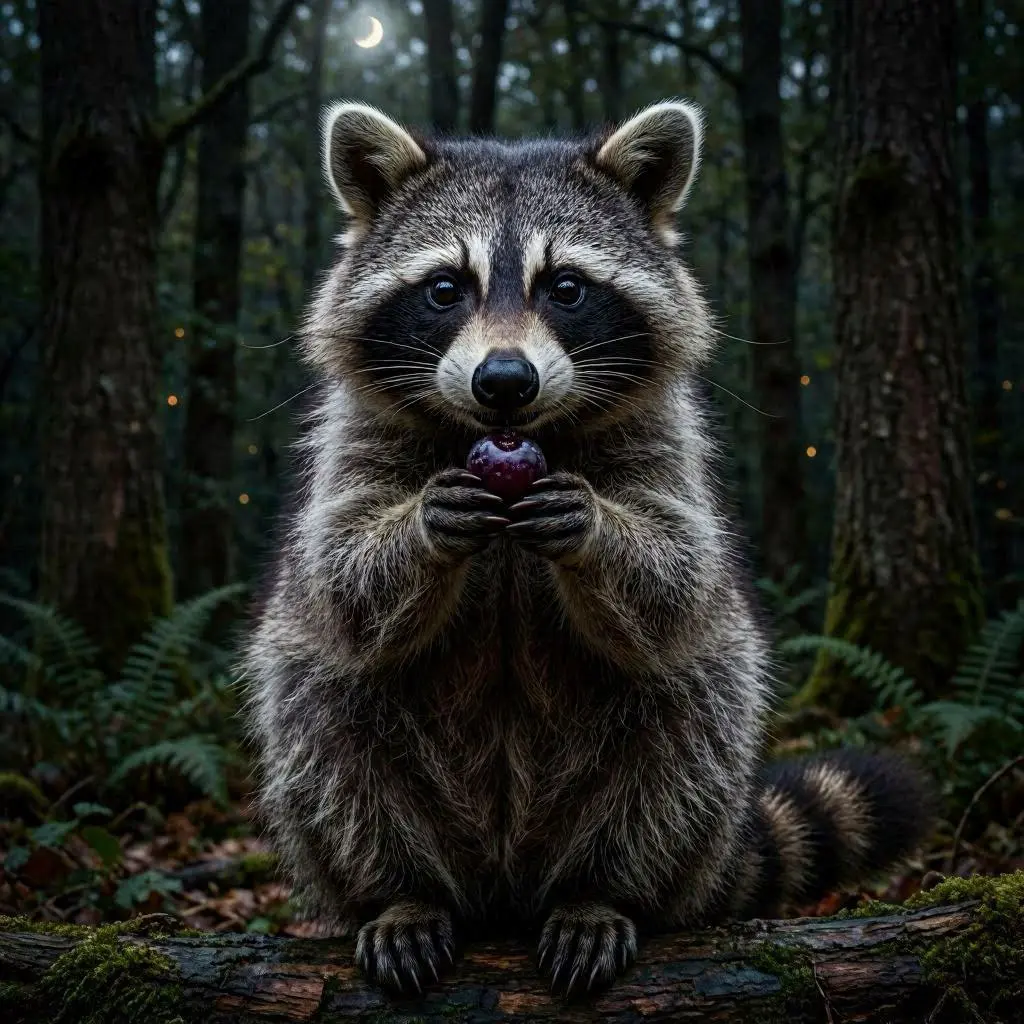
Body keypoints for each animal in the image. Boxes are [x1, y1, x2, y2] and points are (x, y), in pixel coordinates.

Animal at [241, 99, 934, 998]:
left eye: (565, 288)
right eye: (444, 289)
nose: (505, 381)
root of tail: (504, 885)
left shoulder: (663, 436)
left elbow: (678, 572)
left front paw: (598, 527)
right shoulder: (356, 436)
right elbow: (340, 576)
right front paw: (421, 526)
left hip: (675, 767)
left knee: (690, 715)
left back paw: (601, 891)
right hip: (340, 752)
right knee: (322, 715)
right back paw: (401, 892)